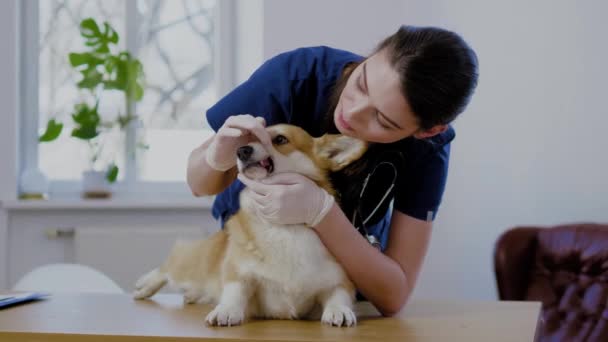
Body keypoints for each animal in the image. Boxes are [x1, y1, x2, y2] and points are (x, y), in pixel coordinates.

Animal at [134, 124, 366, 328]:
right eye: (248, 139)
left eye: (280, 139)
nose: (240, 150)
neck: (283, 227)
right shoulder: (238, 273)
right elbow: (234, 291)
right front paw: (225, 311)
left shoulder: (340, 280)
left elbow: (339, 295)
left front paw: (339, 311)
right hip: (194, 266)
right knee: (169, 265)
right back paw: (144, 286)